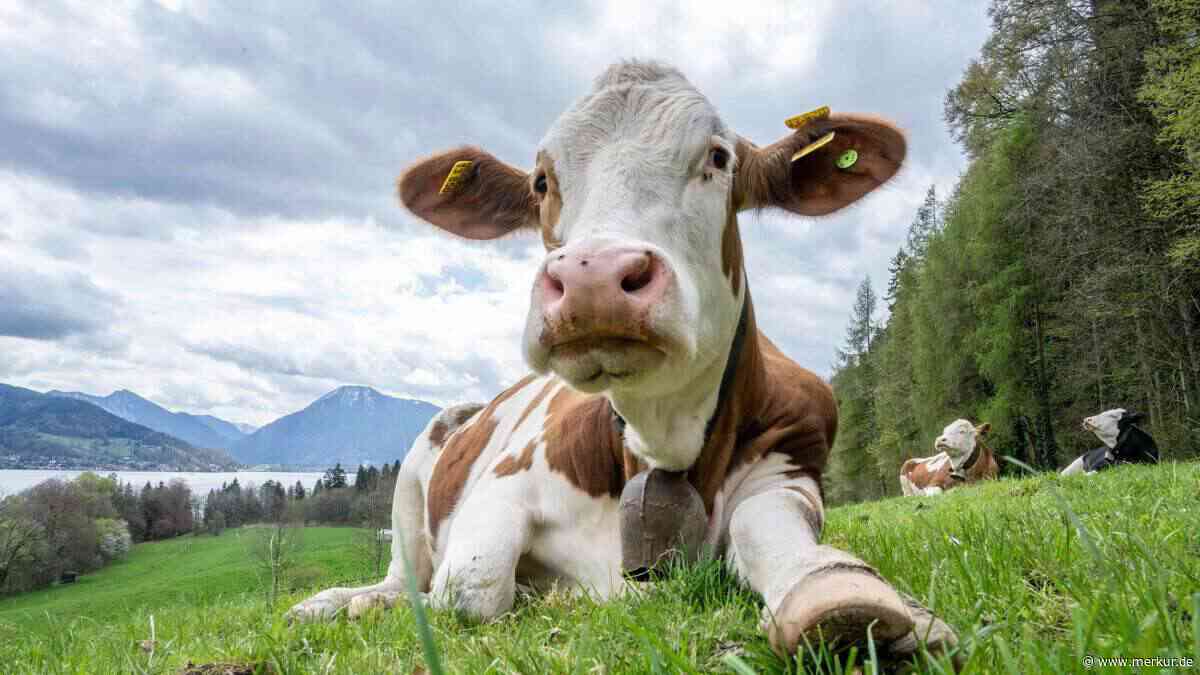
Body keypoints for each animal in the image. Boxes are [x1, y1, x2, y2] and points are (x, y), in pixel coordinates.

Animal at [289, 60, 960, 663]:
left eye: (718, 158)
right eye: (541, 181)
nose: (593, 279)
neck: (665, 439)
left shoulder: (793, 465)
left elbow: (768, 530)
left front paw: (842, 595)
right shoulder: (501, 486)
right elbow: (472, 587)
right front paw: (539, 593)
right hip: (412, 479)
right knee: (405, 580)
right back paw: (340, 601)